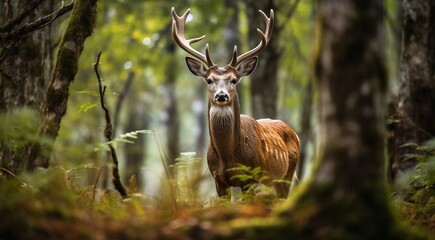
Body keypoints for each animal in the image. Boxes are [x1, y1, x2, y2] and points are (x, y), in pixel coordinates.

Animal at [170, 7, 300, 199]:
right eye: (209, 80)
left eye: (234, 80)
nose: (221, 96)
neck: (228, 155)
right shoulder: (217, 178)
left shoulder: (250, 177)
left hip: (287, 173)